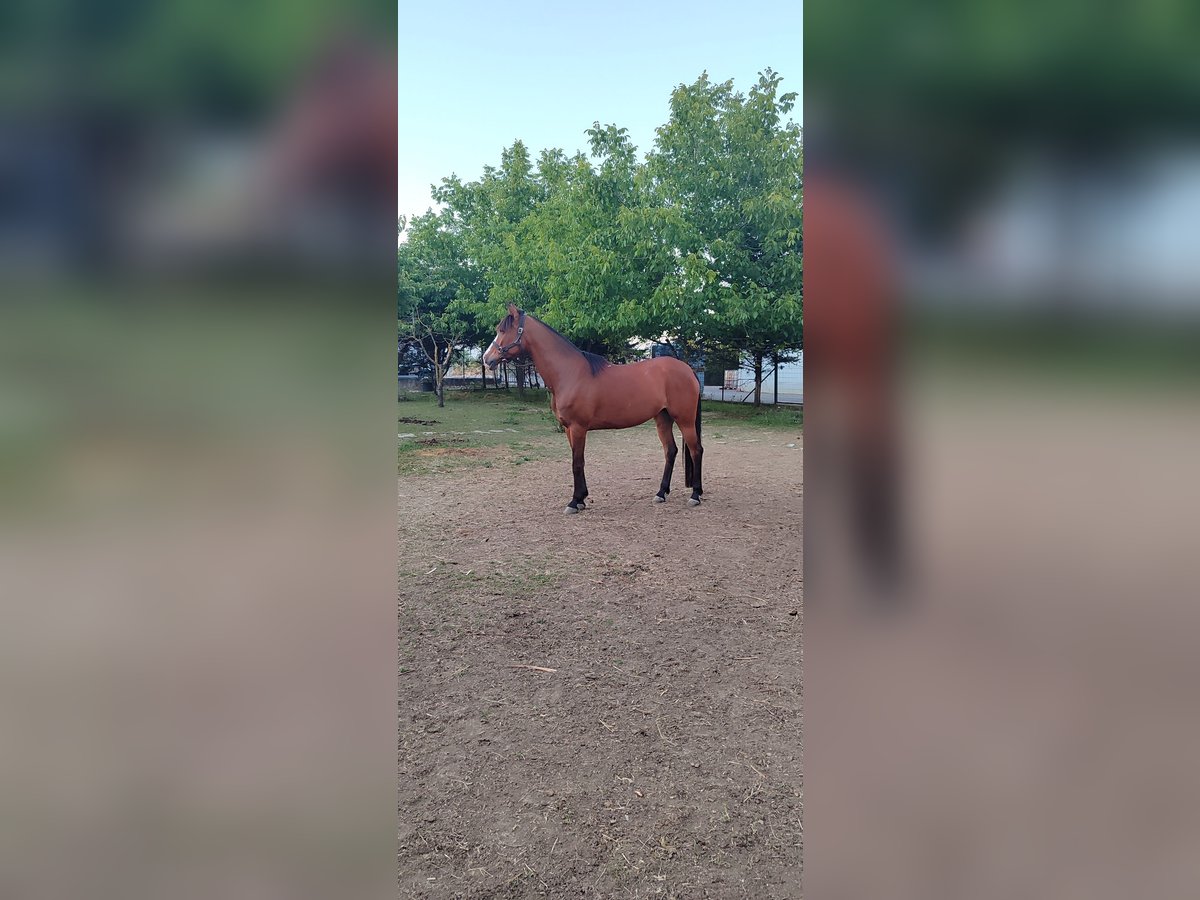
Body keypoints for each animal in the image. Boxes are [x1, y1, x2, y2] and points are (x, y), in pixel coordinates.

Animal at [482, 305, 704, 514]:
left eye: (503, 330)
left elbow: (577, 463)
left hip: (684, 420)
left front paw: (574, 501)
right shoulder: (568, 429)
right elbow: (577, 462)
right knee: (671, 451)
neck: (571, 373)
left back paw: (695, 495)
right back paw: (661, 493)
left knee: (696, 450)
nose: (486, 359)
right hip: (662, 418)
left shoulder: (578, 427)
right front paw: (581, 499)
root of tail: (688, 369)